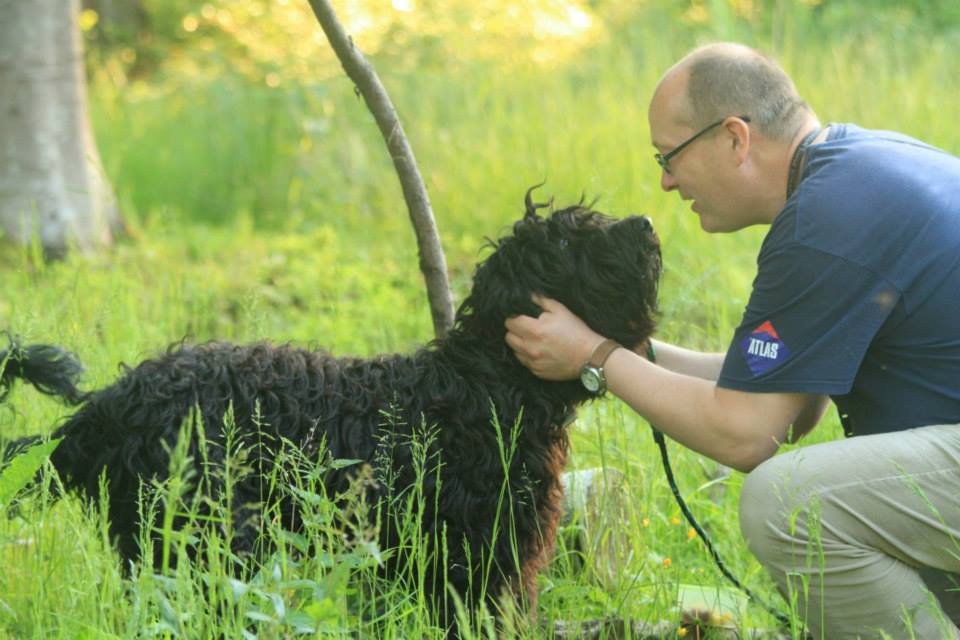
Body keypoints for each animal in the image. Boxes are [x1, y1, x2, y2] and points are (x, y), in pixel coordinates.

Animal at [0, 192, 660, 630]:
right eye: (568, 241)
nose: (647, 223)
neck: (483, 388)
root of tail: (106, 406)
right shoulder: (470, 560)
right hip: (198, 541)